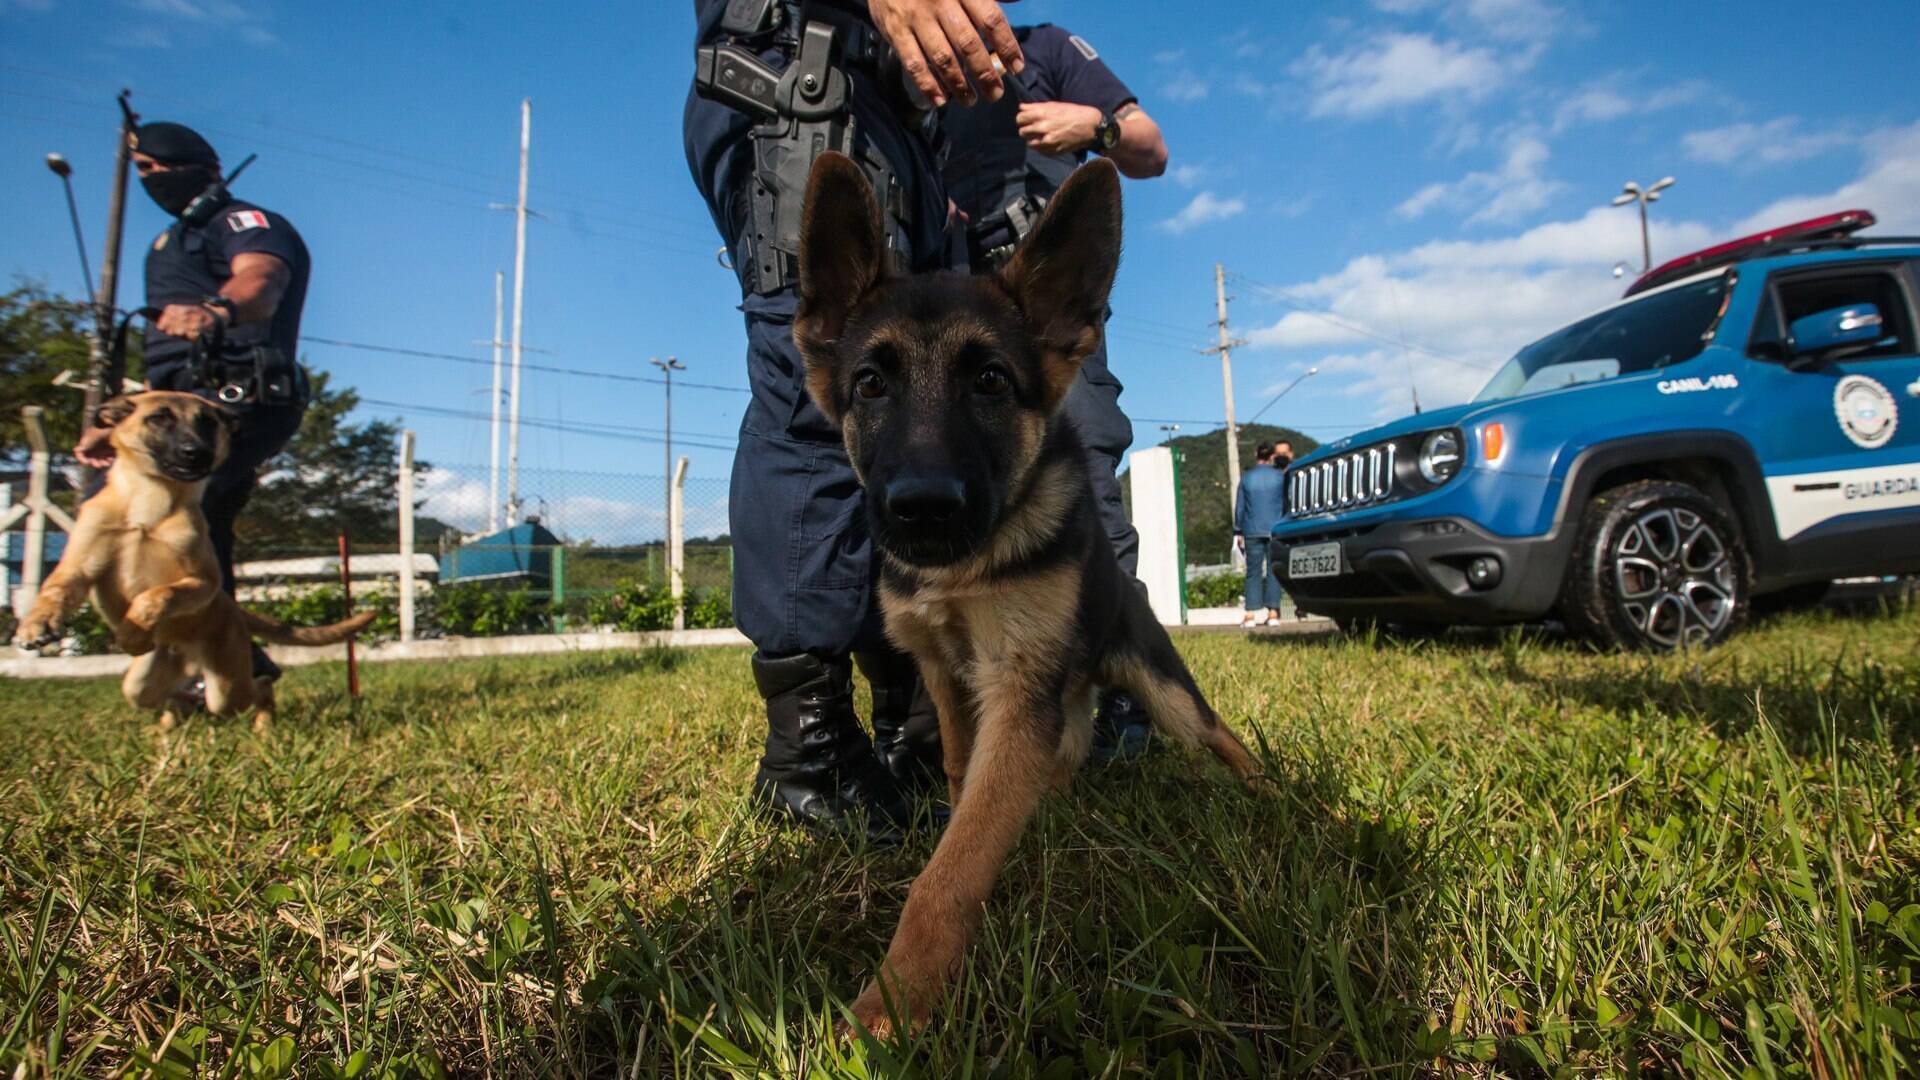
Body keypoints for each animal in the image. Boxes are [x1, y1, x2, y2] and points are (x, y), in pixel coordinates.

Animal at [13, 390, 374, 726]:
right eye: (159, 418)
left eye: (208, 422)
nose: (198, 452)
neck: (148, 499)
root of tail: (234, 609)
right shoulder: (81, 566)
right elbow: (55, 590)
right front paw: (36, 625)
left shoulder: (203, 581)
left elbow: (158, 594)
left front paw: (132, 631)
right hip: (142, 683)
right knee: (167, 696)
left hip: (227, 687)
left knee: (257, 688)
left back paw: (262, 722)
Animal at [794, 153, 1259, 1037]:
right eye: (869, 384)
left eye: (990, 381)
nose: (923, 508)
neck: (963, 570)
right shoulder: (948, 675)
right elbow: (962, 784)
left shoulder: (1016, 687)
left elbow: (950, 873)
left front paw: (896, 1001)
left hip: (1164, 690)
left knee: (1223, 738)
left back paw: (1280, 802)